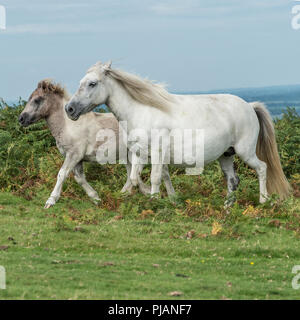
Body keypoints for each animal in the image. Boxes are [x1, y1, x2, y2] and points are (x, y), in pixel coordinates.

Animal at [65, 61, 290, 204]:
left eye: (92, 83)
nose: (70, 109)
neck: (142, 111)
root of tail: (250, 106)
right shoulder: (138, 153)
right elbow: (135, 178)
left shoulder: (156, 153)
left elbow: (155, 177)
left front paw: (155, 201)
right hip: (226, 155)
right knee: (233, 180)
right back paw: (227, 207)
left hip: (246, 152)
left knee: (262, 168)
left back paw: (263, 200)